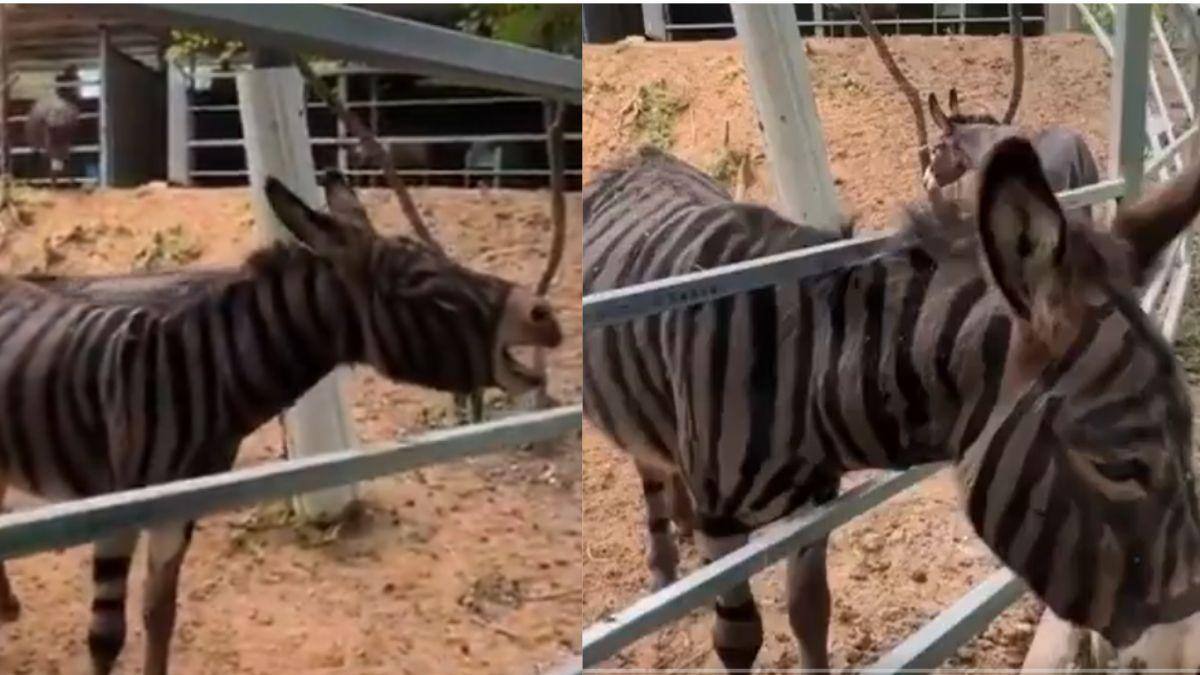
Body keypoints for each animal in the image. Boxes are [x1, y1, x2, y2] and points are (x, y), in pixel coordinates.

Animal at [0, 170, 563, 675]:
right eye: (426, 290)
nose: (544, 314)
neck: (207, 375)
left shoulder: (178, 510)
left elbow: (160, 615)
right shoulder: (117, 512)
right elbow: (106, 638)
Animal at [582, 141, 1200, 670]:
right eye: (1117, 467)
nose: (1181, 648)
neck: (803, 378)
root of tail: (642, 157)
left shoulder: (815, 506)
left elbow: (811, 614)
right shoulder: (725, 528)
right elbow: (738, 640)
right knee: (646, 463)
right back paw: (665, 562)